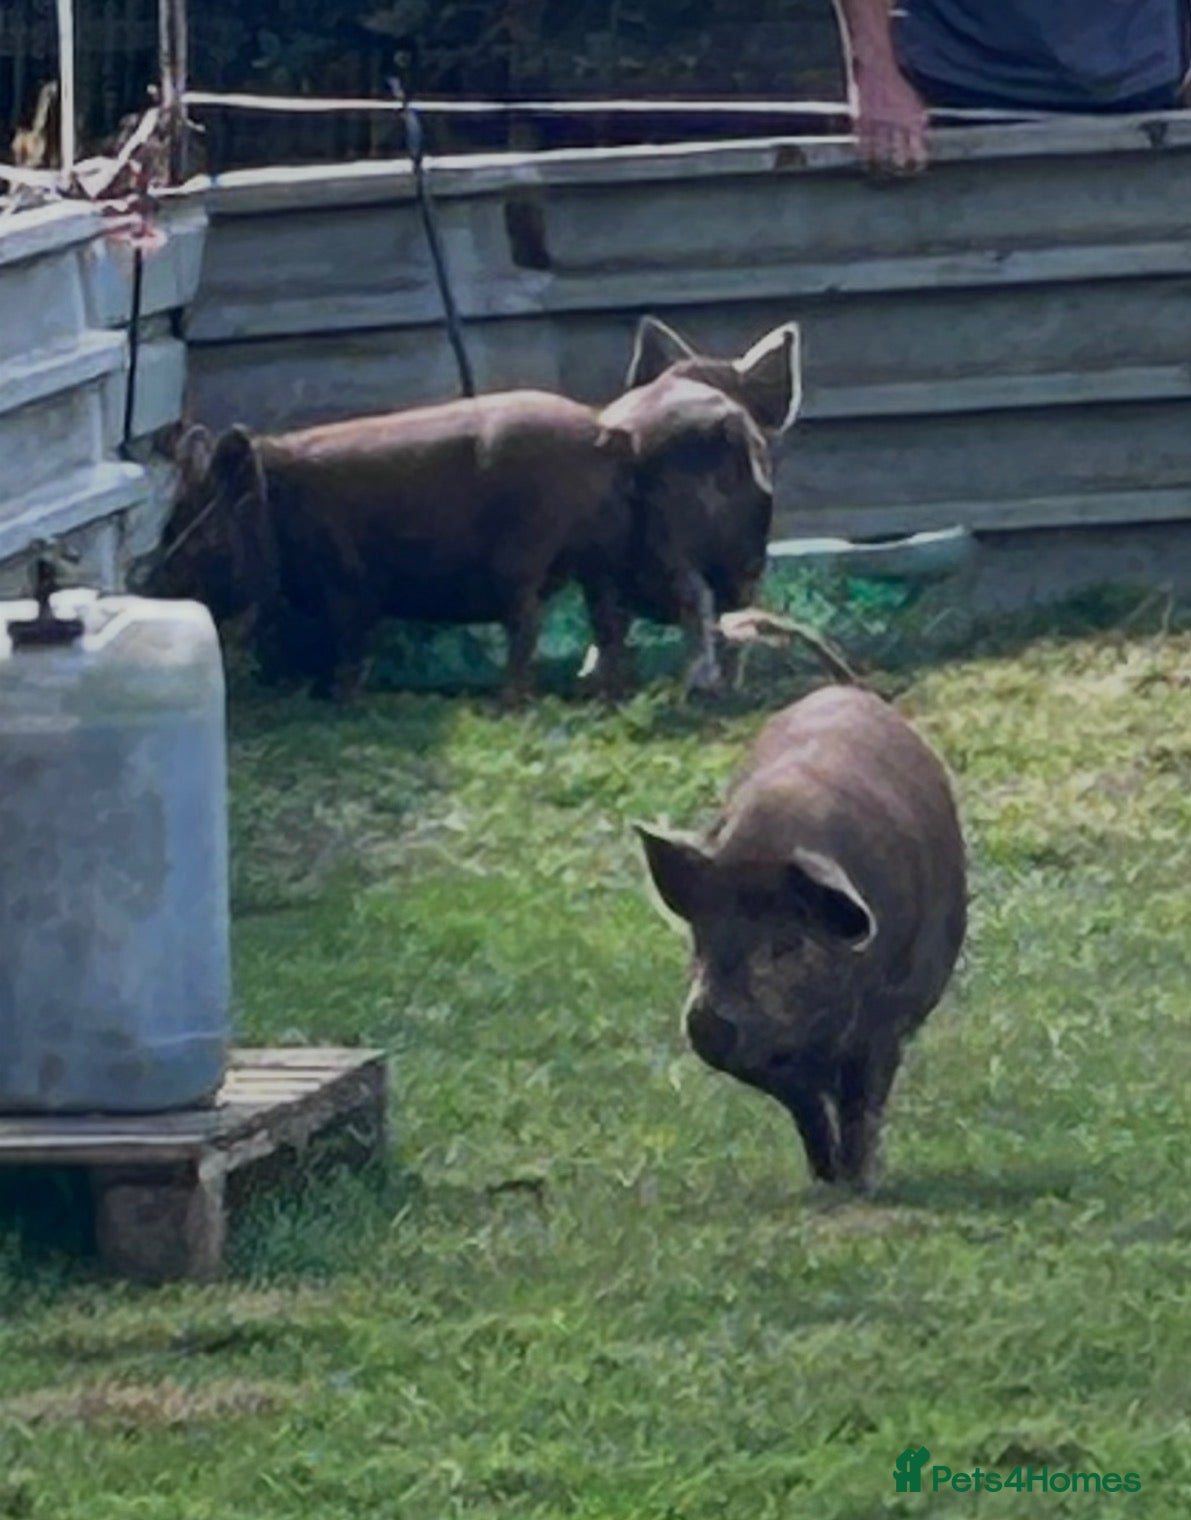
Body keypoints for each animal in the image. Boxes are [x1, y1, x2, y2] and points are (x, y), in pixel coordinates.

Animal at [636, 685, 967, 1192]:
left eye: (788, 943)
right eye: (700, 938)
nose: (708, 1018)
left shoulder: (887, 1019)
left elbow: (862, 1101)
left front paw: (858, 1182)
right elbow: (805, 1107)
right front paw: (824, 1180)